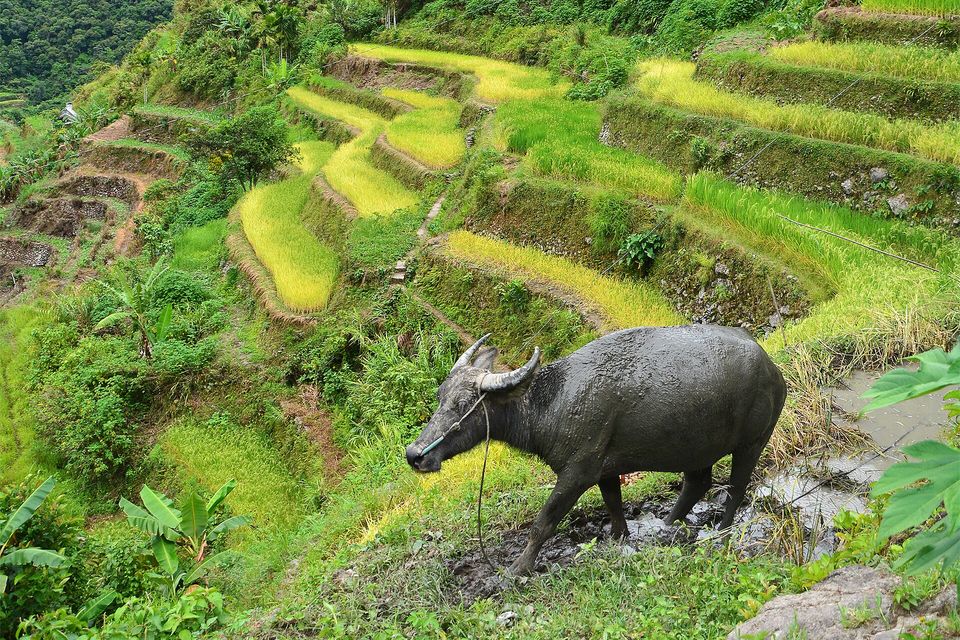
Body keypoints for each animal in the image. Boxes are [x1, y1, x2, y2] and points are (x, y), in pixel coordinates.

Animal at [406, 325, 787, 576]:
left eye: (463, 404)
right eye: (440, 396)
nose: (415, 455)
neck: (552, 402)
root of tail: (772, 369)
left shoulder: (577, 473)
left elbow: (543, 523)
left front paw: (518, 568)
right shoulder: (605, 469)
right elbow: (614, 505)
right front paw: (619, 537)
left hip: (753, 442)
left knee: (736, 488)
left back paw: (721, 530)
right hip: (696, 447)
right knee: (697, 483)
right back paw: (666, 524)